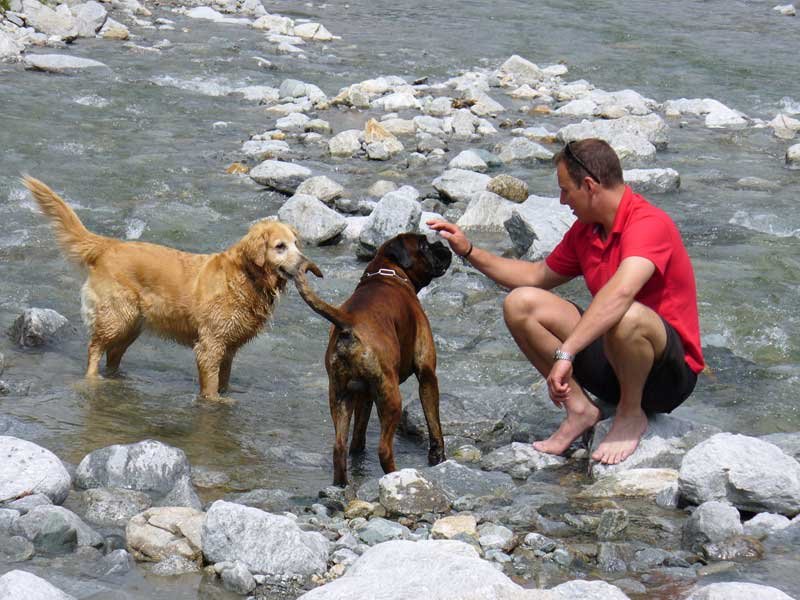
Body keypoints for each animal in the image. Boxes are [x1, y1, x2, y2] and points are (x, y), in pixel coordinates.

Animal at [294, 232, 454, 486]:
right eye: (424, 245)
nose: (443, 246)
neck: (387, 273)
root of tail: (348, 321)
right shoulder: (427, 374)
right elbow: (434, 423)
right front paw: (438, 457)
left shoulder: (364, 395)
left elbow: (358, 434)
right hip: (391, 398)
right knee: (384, 450)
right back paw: (396, 476)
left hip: (341, 397)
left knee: (339, 448)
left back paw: (342, 484)